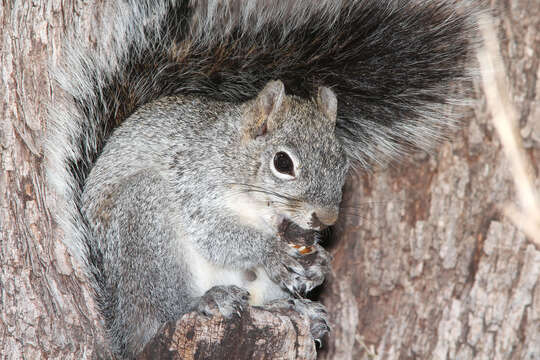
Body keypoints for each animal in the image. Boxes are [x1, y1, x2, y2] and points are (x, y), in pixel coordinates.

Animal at [44, 0, 478, 358]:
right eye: (282, 163)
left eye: (341, 164)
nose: (326, 218)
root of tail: (121, 324)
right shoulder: (193, 184)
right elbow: (217, 233)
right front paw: (271, 253)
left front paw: (318, 264)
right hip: (144, 223)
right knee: (160, 310)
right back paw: (207, 301)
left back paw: (295, 310)